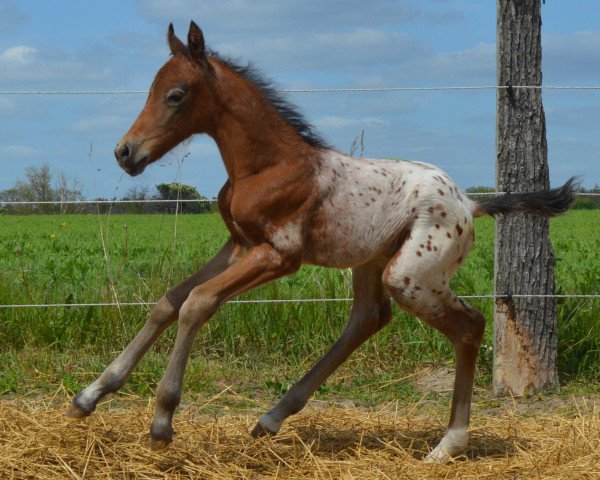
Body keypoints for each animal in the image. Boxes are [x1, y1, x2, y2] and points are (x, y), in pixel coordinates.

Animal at [67, 22, 576, 462]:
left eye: (175, 95)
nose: (126, 152)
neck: (268, 165)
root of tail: (470, 204)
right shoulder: (239, 244)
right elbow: (169, 301)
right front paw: (89, 396)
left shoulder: (279, 254)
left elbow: (197, 302)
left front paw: (162, 421)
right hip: (373, 261)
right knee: (367, 319)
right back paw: (271, 418)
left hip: (410, 274)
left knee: (468, 326)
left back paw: (447, 444)